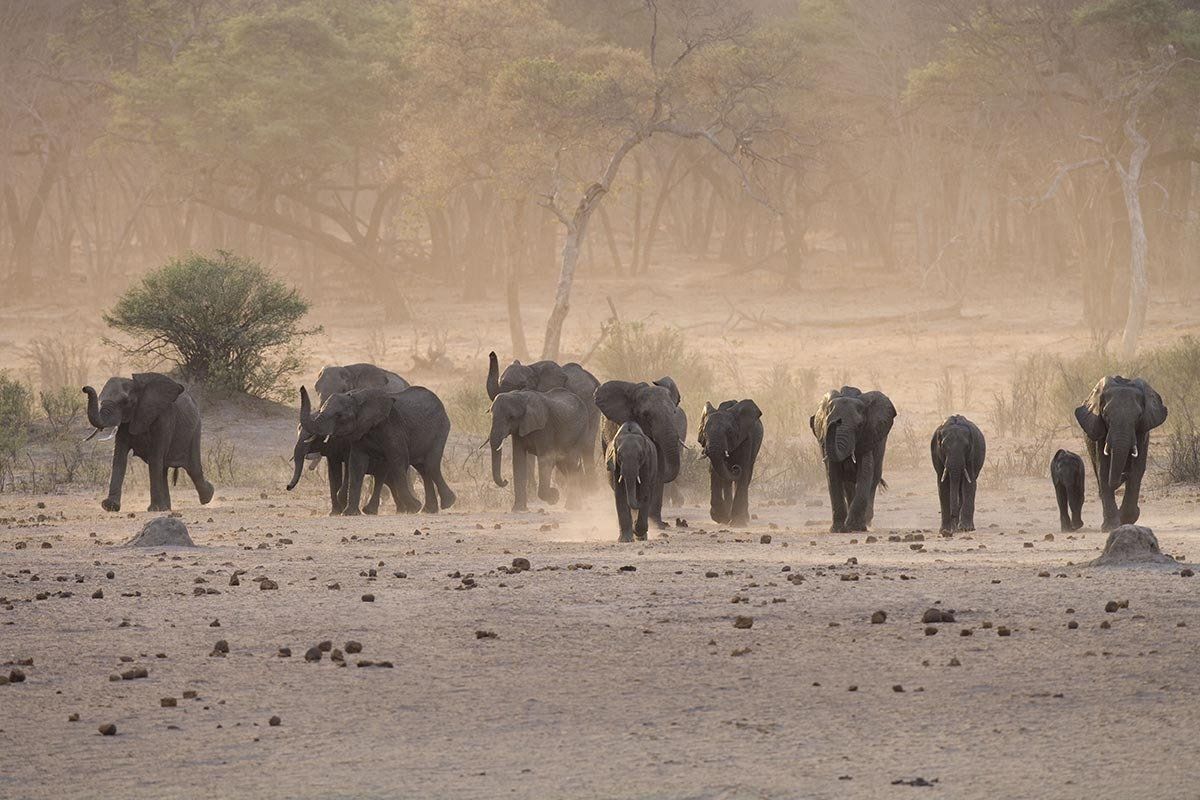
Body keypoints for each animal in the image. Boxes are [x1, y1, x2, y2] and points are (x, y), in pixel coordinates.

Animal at [82, 373, 213, 512]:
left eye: (125, 401)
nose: (84, 388)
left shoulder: (163, 418)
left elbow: (155, 458)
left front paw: (154, 509)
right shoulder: (125, 424)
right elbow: (119, 458)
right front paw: (109, 506)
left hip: (195, 430)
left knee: (192, 468)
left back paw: (208, 496)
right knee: (164, 469)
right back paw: (166, 508)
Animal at [297, 385, 455, 514]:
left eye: (339, 416)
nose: (301, 388)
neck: (356, 398)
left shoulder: (392, 426)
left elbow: (398, 461)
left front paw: (413, 508)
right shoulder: (360, 433)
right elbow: (356, 464)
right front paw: (349, 513)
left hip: (440, 429)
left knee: (431, 465)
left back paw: (447, 503)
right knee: (423, 468)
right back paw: (429, 510)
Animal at [487, 352, 601, 481]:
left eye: (523, 385)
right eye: (500, 382)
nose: (492, 354)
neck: (532, 369)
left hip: (591, 405)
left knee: (587, 446)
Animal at [809, 386, 896, 532]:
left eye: (859, 425)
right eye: (827, 423)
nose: (836, 421)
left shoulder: (868, 436)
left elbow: (865, 472)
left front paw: (856, 528)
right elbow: (832, 475)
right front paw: (839, 530)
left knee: (873, 481)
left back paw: (867, 520)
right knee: (848, 485)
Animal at [1074, 375, 1167, 531]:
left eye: (1138, 416)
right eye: (1105, 415)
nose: (1123, 475)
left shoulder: (1142, 432)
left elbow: (1137, 470)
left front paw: (1126, 520)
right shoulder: (1101, 431)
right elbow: (1104, 470)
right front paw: (1111, 527)